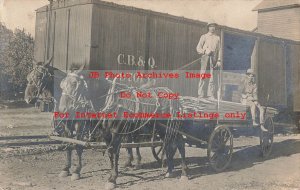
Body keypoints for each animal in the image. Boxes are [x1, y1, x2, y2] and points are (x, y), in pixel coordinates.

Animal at [58, 71, 189, 189]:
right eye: (61, 85)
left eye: (74, 83)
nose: (62, 110)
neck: (111, 101)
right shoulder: (106, 134)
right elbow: (110, 153)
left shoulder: (116, 132)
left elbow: (114, 153)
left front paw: (112, 179)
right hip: (162, 129)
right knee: (168, 145)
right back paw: (169, 170)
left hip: (172, 127)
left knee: (180, 144)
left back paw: (184, 173)